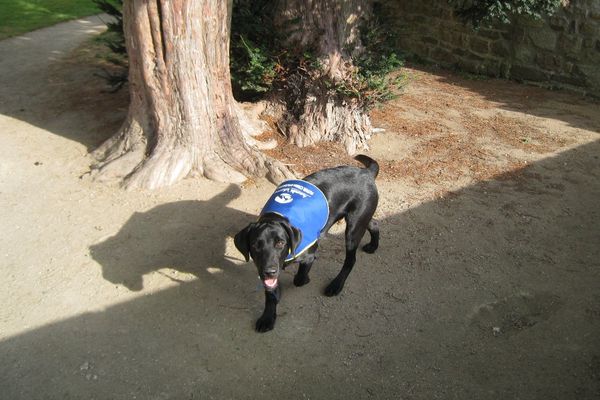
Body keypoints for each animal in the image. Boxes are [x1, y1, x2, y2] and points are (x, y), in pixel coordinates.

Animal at [234, 153, 380, 332]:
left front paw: (303, 280)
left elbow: (299, 278)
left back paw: (336, 285)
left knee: (350, 260)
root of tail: (366, 172)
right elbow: (270, 294)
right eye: (255, 245)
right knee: (374, 224)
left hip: (353, 228)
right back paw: (373, 246)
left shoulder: (308, 255)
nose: (270, 271)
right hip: (361, 220)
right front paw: (268, 317)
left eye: (280, 243)